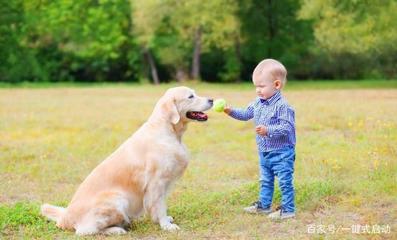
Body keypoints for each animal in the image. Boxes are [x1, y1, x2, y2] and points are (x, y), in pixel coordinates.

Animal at [41, 86, 212, 234]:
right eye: (190, 96)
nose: (211, 99)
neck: (168, 130)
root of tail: (64, 217)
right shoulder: (157, 182)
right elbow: (159, 205)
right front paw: (166, 225)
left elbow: (160, 205)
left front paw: (163, 221)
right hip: (118, 199)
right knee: (85, 230)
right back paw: (117, 230)